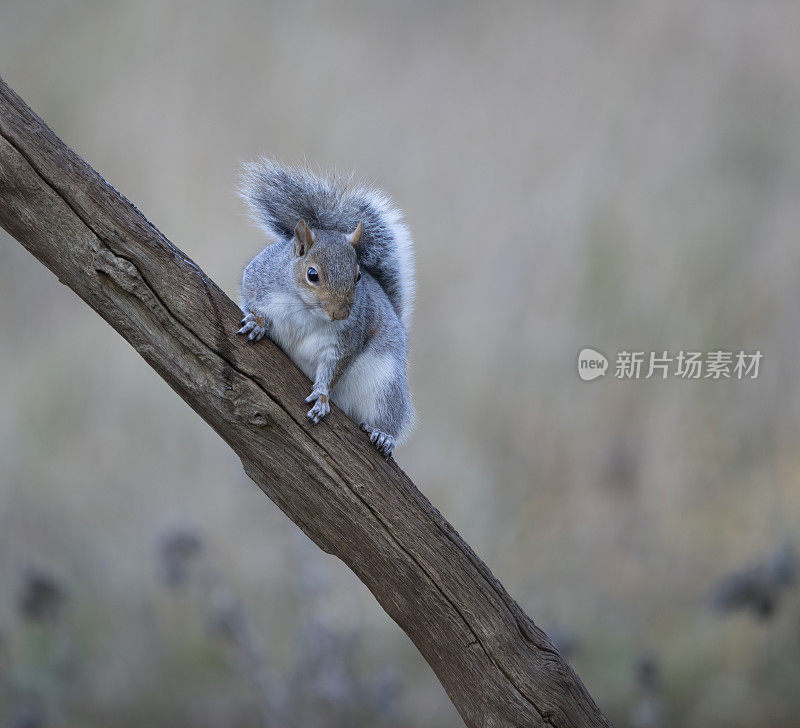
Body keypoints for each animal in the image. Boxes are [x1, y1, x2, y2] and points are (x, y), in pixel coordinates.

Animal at [236, 161, 416, 456]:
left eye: (358, 276)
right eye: (312, 275)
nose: (341, 313)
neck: (305, 308)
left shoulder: (346, 338)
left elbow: (334, 368)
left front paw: (321, 397)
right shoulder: (258, 280)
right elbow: (250, 301)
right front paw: (256, 323)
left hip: (384, 385)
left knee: (389, 416)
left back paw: (383, 434)